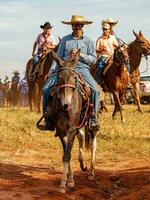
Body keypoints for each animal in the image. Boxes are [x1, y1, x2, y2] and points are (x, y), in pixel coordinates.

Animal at [47, 50, 98, 194]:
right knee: (81, 136)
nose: (66, 104)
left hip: (91, 125)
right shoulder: (61, 131)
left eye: (74, 77)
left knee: (93, 144)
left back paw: (91, 172)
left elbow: (67, 154)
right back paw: (83, 164)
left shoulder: (71, 130)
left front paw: (63, 184)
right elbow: (66, 154)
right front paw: (69, 180)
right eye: (58, 77)